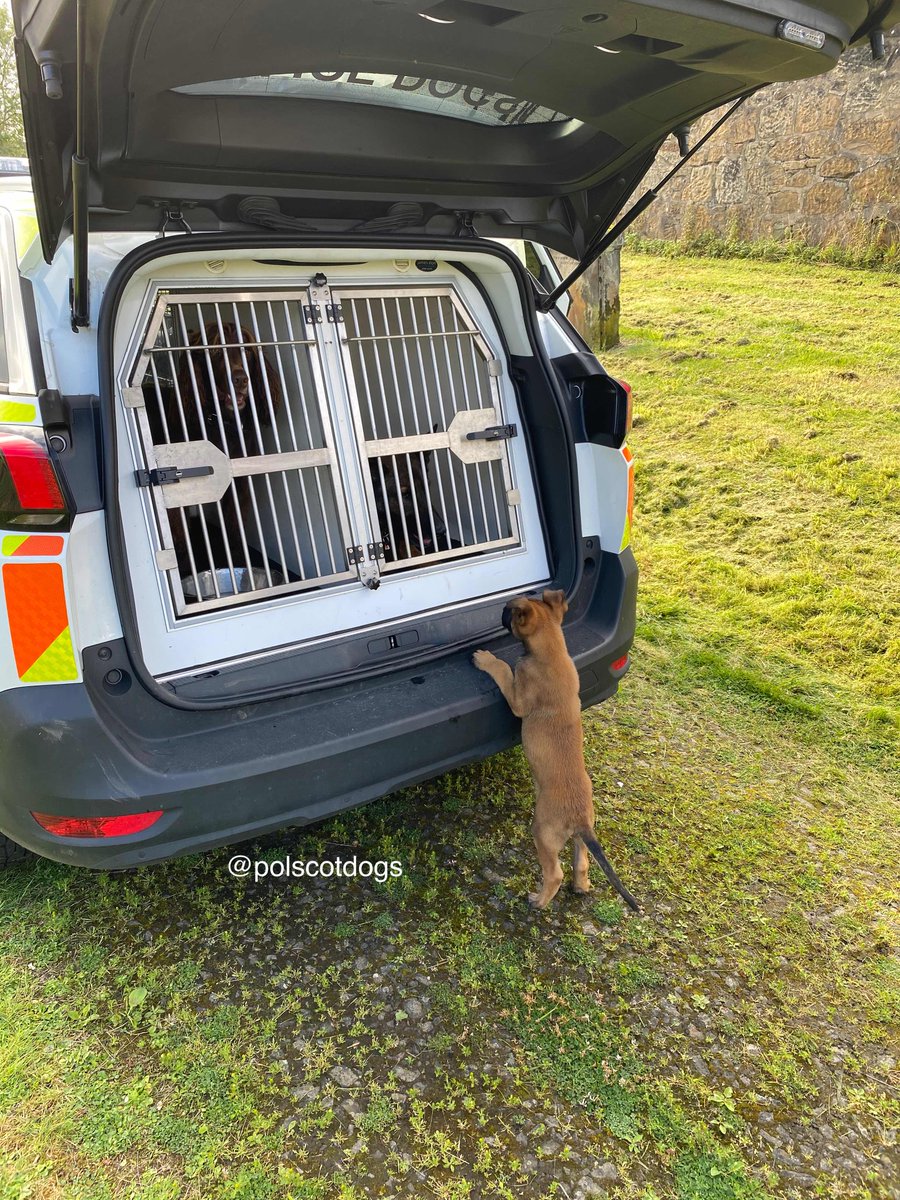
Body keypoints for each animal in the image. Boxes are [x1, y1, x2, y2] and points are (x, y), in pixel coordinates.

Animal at [148, 321, 282, 578]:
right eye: (216, 352)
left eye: (246, 351)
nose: (240, 379)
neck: (221, 424)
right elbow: (179, 533)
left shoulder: (240, 482)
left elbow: (234, 526)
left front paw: (239, 561)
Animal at [472, 588, 643, 907]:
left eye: (510, 610)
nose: (500, 610)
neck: (551, 650)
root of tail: (580, 819)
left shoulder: (518, 699)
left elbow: (503, 670)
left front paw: (486, 658)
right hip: (579, 836)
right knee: (582, 863)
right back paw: (581, 886)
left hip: (543, 831)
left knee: (555, 873)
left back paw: (538, 901)